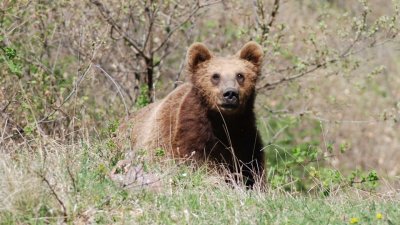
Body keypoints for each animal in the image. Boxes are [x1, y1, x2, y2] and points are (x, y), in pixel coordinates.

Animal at [118, 41, 266, 187]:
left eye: (240, 75)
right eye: (215, 76)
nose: (230, 93)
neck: (222, 122)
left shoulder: (244, 135)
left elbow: (251, 166)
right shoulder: (189, 131)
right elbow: (197, 161)